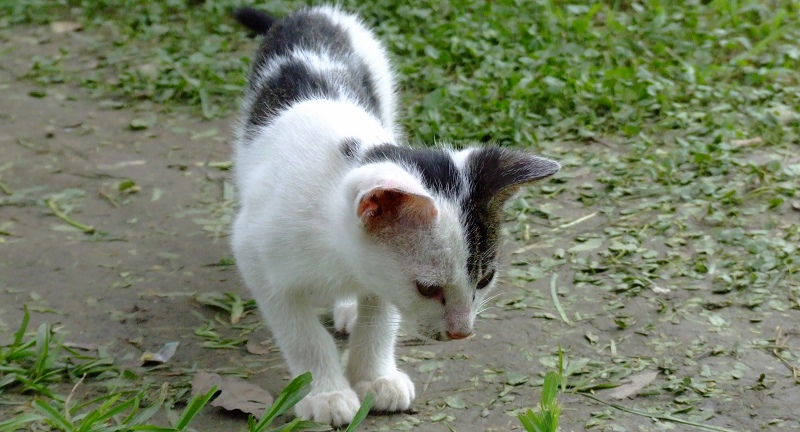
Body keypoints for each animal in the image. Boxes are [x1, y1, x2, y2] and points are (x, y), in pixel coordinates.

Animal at [228, 5, 560, 426]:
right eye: (428, 289)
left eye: (485, 280)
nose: (462, 332)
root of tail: (311, 12)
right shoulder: (254, 254)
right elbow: (301, 333)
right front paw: (326, 391)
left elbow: (380, 315)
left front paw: (374, 377)